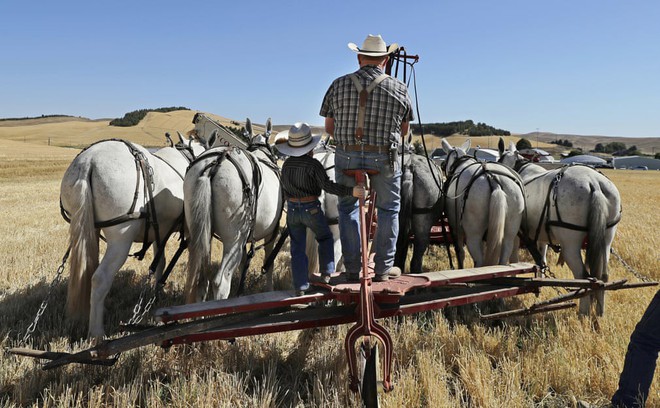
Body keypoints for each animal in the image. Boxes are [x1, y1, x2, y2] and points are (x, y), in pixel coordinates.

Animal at [60, 132, 209, 340]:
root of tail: (88, 162)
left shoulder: (160, 231)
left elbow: (160, 262)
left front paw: (157, 292)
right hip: (120, 240)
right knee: (100, 278)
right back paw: (96, 333)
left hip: (89, 229)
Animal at [183, 118, 284, 302]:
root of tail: (214, 164)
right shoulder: (270, 234)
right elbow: (269, 263)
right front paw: (269, 291)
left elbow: (245, 262)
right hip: (234, 239)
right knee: (220, 281)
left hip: (201, 233)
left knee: (201, 279)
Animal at [444, 139, 524, 270]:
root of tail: (492, 179)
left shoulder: (456, 229)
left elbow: (460, 252)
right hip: (510, 231)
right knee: (504, 255)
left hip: (473, 236)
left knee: (479, 261)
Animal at [498, 140, 620, 316]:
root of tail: (594, 183)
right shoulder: (541, 236)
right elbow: (542, 257)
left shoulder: (516, 234)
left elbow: (514, 258)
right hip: (606, 238)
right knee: (603, 276)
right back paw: (599, 313)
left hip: (570, 245)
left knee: (584, 276)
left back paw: (583, 314)